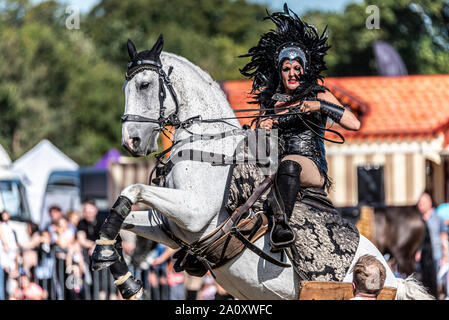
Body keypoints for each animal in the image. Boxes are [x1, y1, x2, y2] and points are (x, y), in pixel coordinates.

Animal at [90, 35, 430, 300]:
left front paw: (106, 256)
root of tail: (395, 281)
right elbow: (119, 219)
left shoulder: (193, 212)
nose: (131, 141)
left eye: (145, 85)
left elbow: (133, 188)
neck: (208, 145)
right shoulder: (170, 227)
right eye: (126, 88)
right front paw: (118, 269)